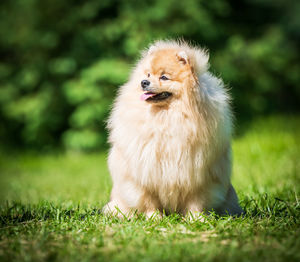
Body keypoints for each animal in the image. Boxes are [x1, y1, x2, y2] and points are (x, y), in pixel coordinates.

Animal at [103, 40, 244, 218]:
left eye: (164, 77)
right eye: (148, 75)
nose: (143, 82)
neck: (166, 117)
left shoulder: (198, 174)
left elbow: (196, 201)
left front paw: (196, 219)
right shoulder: (144, 175)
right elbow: (149, 201)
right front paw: (154, 218)